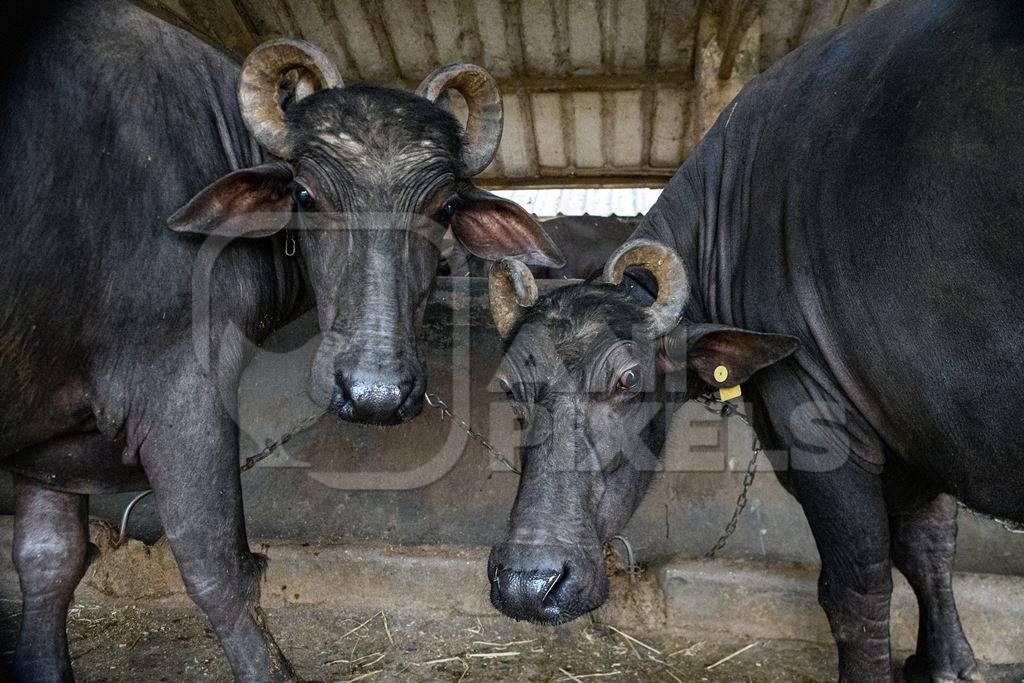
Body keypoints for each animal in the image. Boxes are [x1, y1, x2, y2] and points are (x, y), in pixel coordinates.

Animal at [483, 2, 1019, 679]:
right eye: (509, 389)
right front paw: (946, 662)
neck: (735, 213)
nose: (528, 583)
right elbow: (929, 548)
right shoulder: (918, 431)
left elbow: (857, 587)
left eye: (628, 381)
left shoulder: (823, 423)